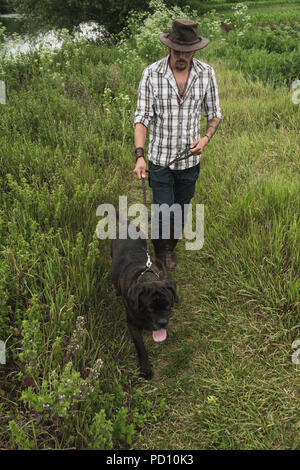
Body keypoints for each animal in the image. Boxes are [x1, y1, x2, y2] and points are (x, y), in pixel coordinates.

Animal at [112, 219, 178, 378]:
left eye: (168, 306)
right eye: (150, 309)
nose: (162, 322)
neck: (147, 278)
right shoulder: (132, 324)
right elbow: (140, 346)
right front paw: (145, 368)